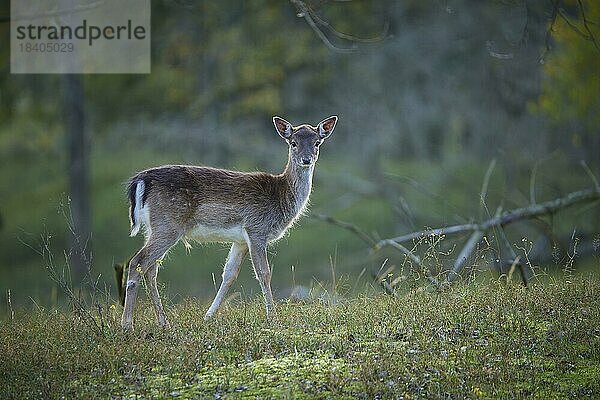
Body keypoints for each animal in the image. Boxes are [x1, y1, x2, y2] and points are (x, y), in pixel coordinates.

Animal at [121, 115, 338, 328]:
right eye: (293, 143)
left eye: (317, 142)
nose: (306, 159)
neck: (280, 198)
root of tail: (140, 180)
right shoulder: (256, 229)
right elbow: (264, 273)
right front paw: (273, 318)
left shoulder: (240, 240)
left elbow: (229, 275)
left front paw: (208, 316)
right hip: (168, 225)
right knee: (138, 261)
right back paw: (127, 324)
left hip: (154, 227)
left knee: (151, 268)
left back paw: (163, 322)